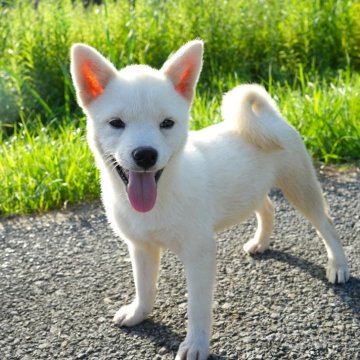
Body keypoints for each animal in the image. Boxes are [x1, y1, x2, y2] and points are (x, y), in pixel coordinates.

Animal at [70, 40, 348, 360]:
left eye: (167, 123)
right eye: (116, 123)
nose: (145, 154)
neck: (163, 192)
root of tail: (270, 117)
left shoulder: (199, 254)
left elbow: (197, 307)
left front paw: (196, 344)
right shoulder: (140, 247)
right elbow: (144, 286)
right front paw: (139, 313)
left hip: (299, 186)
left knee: (326, 224)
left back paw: (338, 265)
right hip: (253, 189)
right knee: (268, 209)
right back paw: (260, 242)